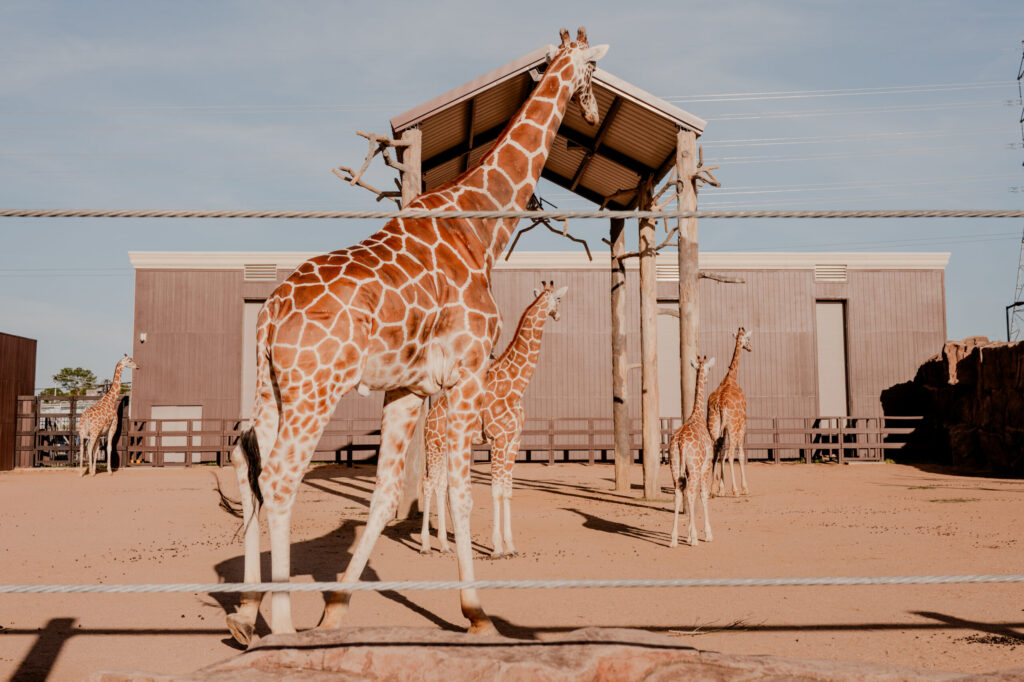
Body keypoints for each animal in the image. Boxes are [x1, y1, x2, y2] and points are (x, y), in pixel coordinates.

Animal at [420, 282, 568, 557]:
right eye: (559, 300)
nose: (558, 316)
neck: (517, 386)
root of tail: (429, 416)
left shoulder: (513, 440)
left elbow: (507, 490)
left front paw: (511, 546)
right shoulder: (498, 439)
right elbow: (496, 490)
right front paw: (497, 547)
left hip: (447, 447)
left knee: (441, 485)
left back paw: (445, 544)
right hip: (433, 446)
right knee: (428, 483)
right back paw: (425, 546)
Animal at [708, 327, 753, 497]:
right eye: (748, 339)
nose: (750, 348)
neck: (731, 378)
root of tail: (720, 403)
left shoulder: (724, 428)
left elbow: (722, 453)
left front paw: (720, 488)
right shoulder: (742, 424)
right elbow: (740, 454)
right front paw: (744, 487)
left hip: (714, 426)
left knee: (715, 451)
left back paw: (712, 489)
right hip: (733, 427)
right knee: (732, 453)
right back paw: (735, 490)